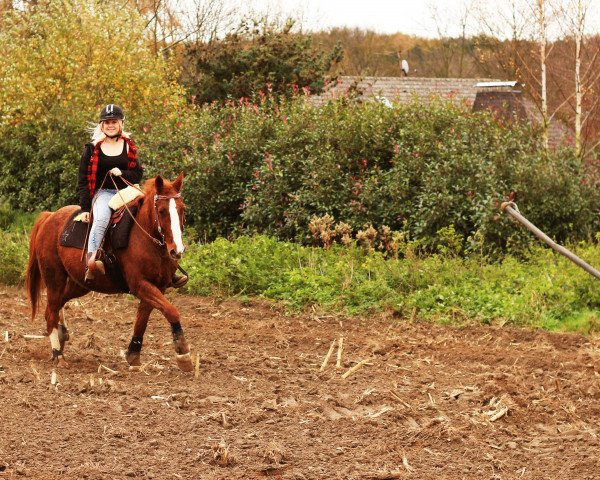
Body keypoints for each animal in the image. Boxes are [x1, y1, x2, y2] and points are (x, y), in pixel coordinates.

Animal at [24, 174, 193, 374]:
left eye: (182, 209)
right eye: (161, 211)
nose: (177, 250)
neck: (144, 237)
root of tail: (49, 217)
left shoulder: (157, 287)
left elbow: (142, 320)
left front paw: (133, 354)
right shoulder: (140, 285)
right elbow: (172, 311)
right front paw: (183, 354)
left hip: (80, 284)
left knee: (57, 305)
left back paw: (61, 334)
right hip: (54, 278)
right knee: (51, 311)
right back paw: (58, 355)